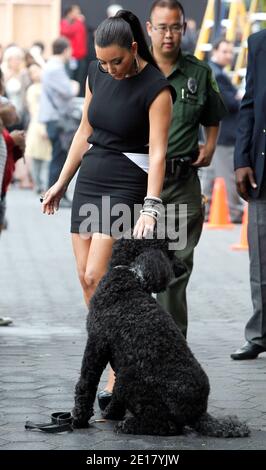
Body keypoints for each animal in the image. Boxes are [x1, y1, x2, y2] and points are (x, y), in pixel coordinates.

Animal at [72, 237, 249, 438]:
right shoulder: (121, 355)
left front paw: (79, 419)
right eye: (170, 252)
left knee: (168, 426)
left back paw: (130, 425)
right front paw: (111, 412)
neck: (129, 277)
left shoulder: (96, 343)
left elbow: (86, 383)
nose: (182, 268)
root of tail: (199, 413)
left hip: (130, 380)